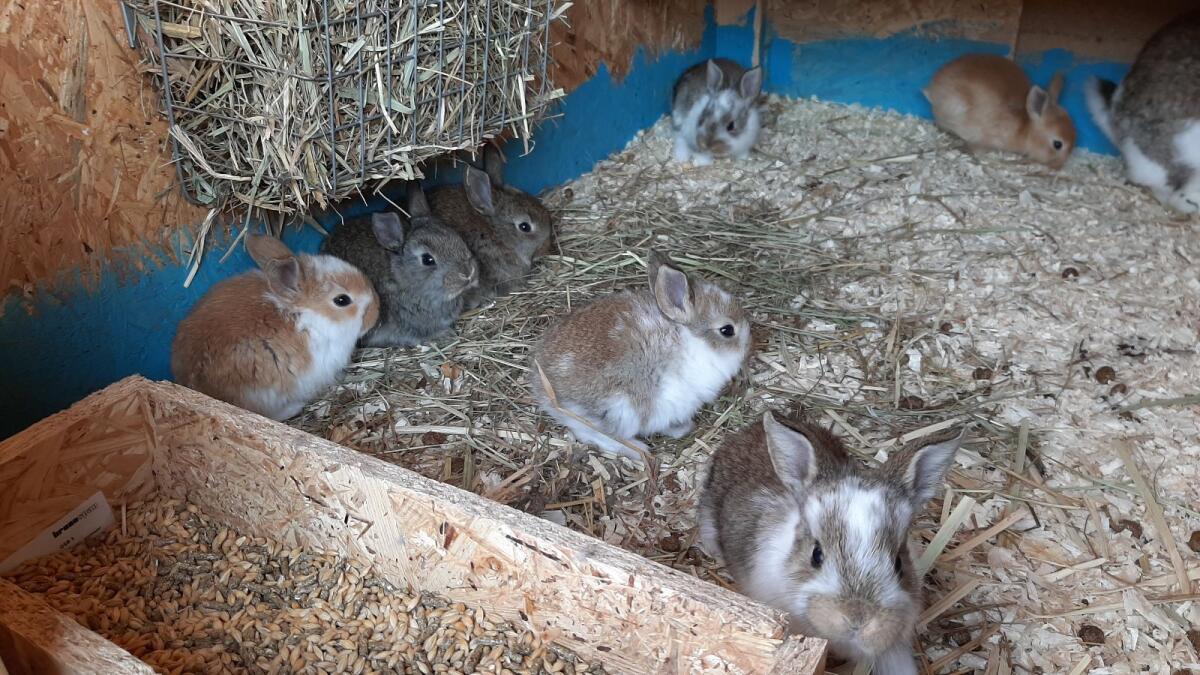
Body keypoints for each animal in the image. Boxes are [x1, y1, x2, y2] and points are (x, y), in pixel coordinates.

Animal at [529, 249, 750, 460]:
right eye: (727, 330)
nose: (748, 343)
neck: (693, 339)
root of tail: (546, 391)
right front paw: (683, 427)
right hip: (620, 409)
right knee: (599, 434)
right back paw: (639, 450)